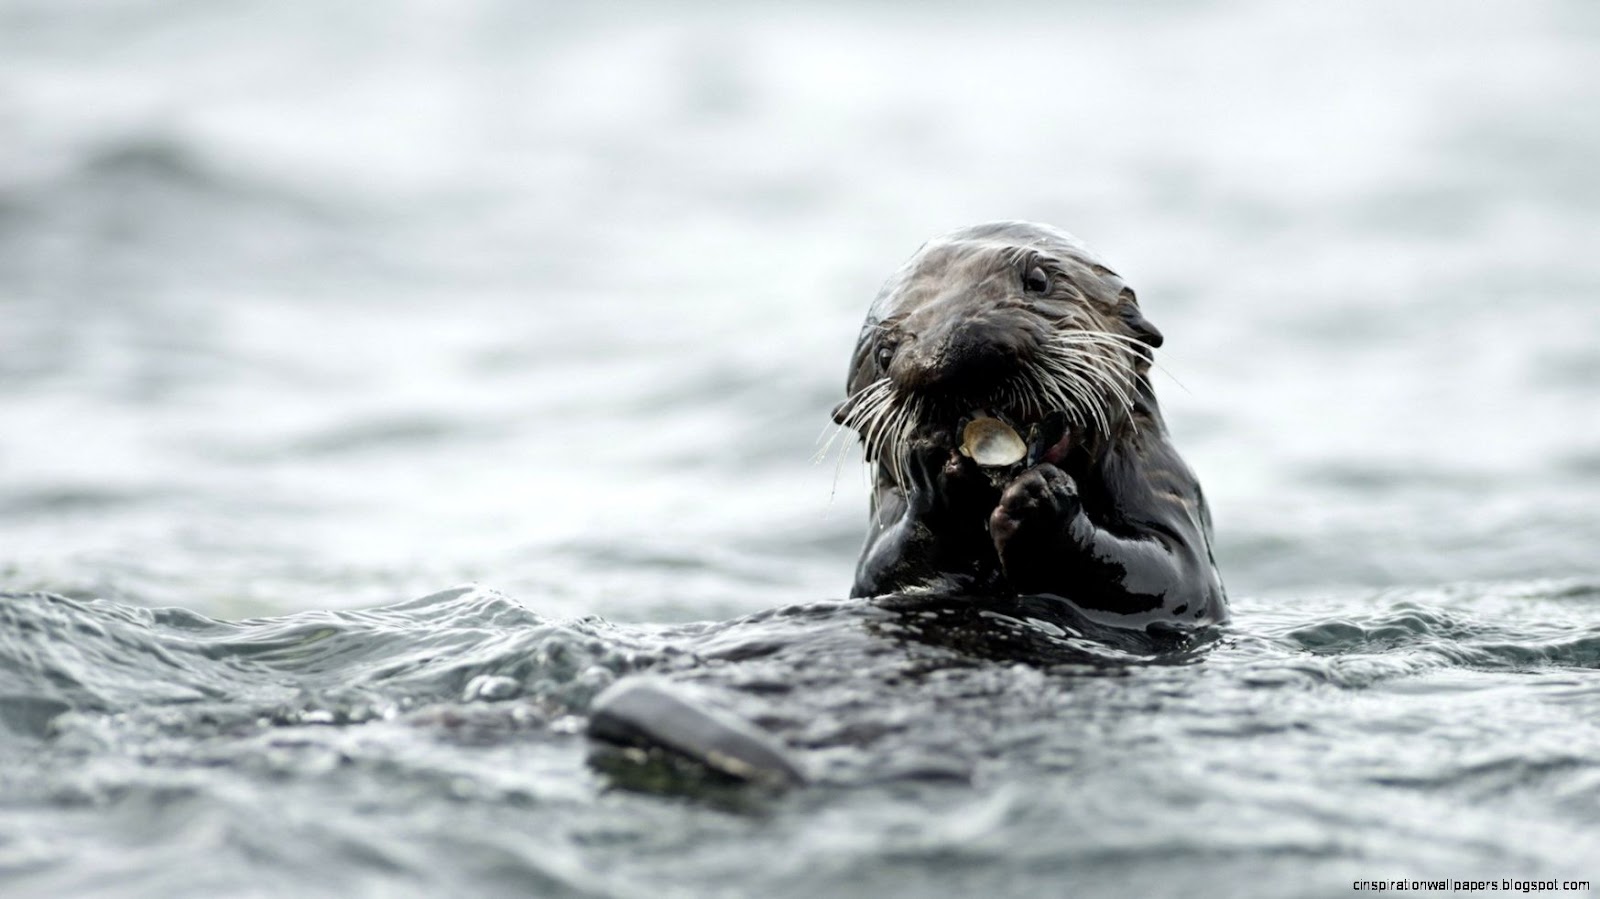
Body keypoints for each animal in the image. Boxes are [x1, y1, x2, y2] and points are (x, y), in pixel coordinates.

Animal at [834, 222, 1227, 623]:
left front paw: (1041, 498)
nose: (952, 351)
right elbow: (880, 572)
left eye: (1038, 280)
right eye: (884, 354)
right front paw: (936, 477)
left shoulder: (1162, 482)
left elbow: (1174, 574)